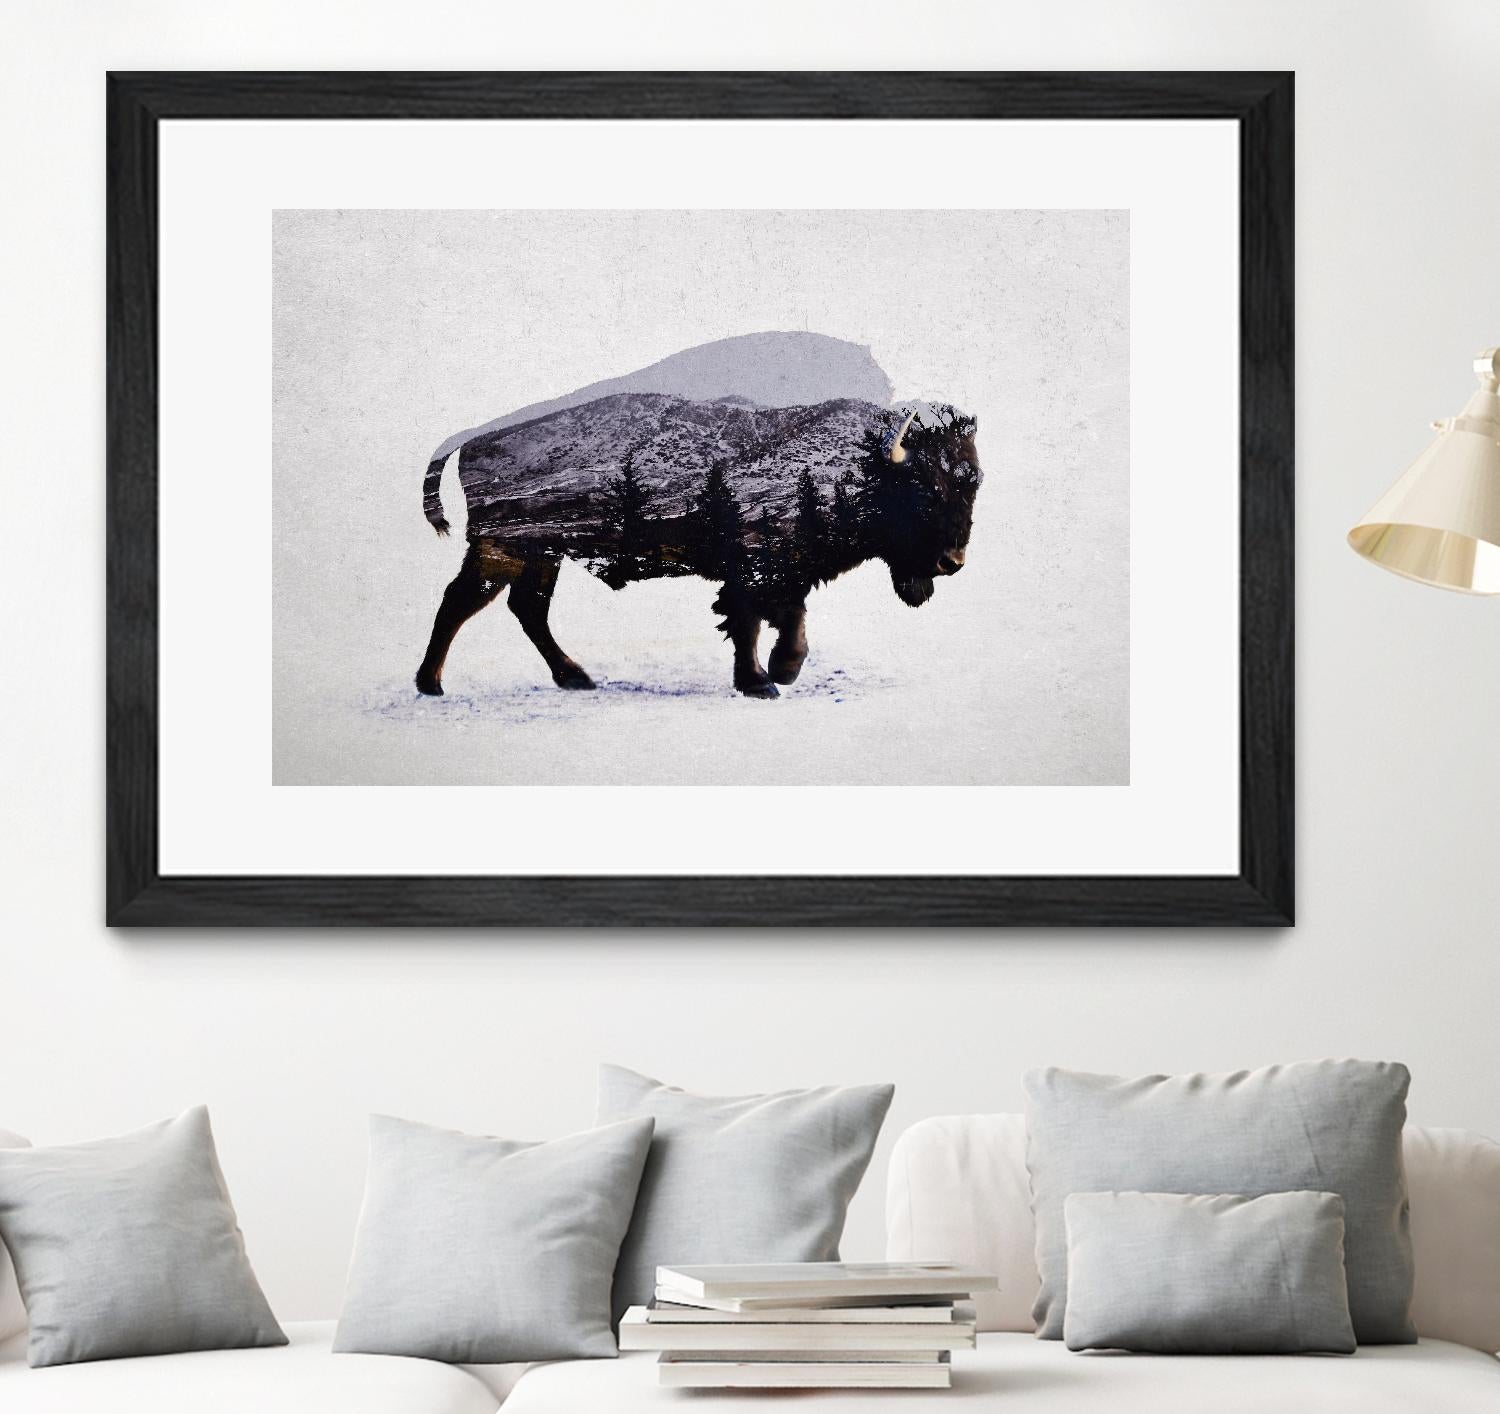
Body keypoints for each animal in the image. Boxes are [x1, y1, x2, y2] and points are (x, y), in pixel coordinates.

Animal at [416, 392, 981, 699]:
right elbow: (751, 620)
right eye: (926, 488)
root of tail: (474, 437)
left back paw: (575, 678)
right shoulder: (755, 567)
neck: (862, 461)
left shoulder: (786, 573)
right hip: (502, 550)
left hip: (541, 555)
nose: (951, 562)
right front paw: (763, 681)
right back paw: (432, 684)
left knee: (526, 609)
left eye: (972, 483)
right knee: (461, 601)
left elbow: (790, 621)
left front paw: (782, 671)